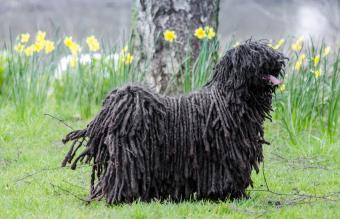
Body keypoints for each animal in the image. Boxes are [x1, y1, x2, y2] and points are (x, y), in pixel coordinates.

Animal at [61, 40, 286, 204]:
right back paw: (122, 198)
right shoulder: (224, 156)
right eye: (256, 54)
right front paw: (229, 195)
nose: (277, 59)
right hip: (128, 156)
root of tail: (117, 103)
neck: (228, 100)